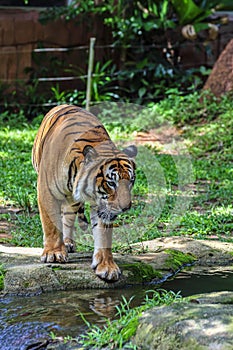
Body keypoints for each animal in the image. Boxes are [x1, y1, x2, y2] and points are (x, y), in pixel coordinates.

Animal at [31, 104, 137, 282]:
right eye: (111, 183)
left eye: (131, 181)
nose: (126, 207)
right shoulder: (46, 191)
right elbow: (51, 224)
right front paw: (54, 254)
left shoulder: (102, 205)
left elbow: (103, 235)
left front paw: (106, 266)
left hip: (72, 201)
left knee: (67, 217)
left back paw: (67, 243)